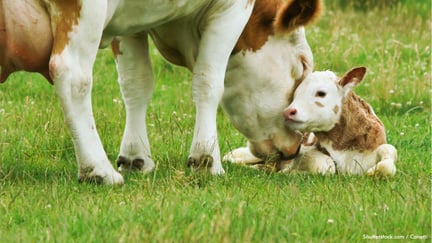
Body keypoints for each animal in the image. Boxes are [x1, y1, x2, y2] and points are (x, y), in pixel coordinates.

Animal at [0, 0, 322, 183]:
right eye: (303, 64)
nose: (297, 146)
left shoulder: (130, 24)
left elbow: (136, 82)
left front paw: (135, 156)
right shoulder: (232, 9)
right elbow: (209, 80)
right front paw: (206, 160)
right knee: (73, 76)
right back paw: (99, 170)